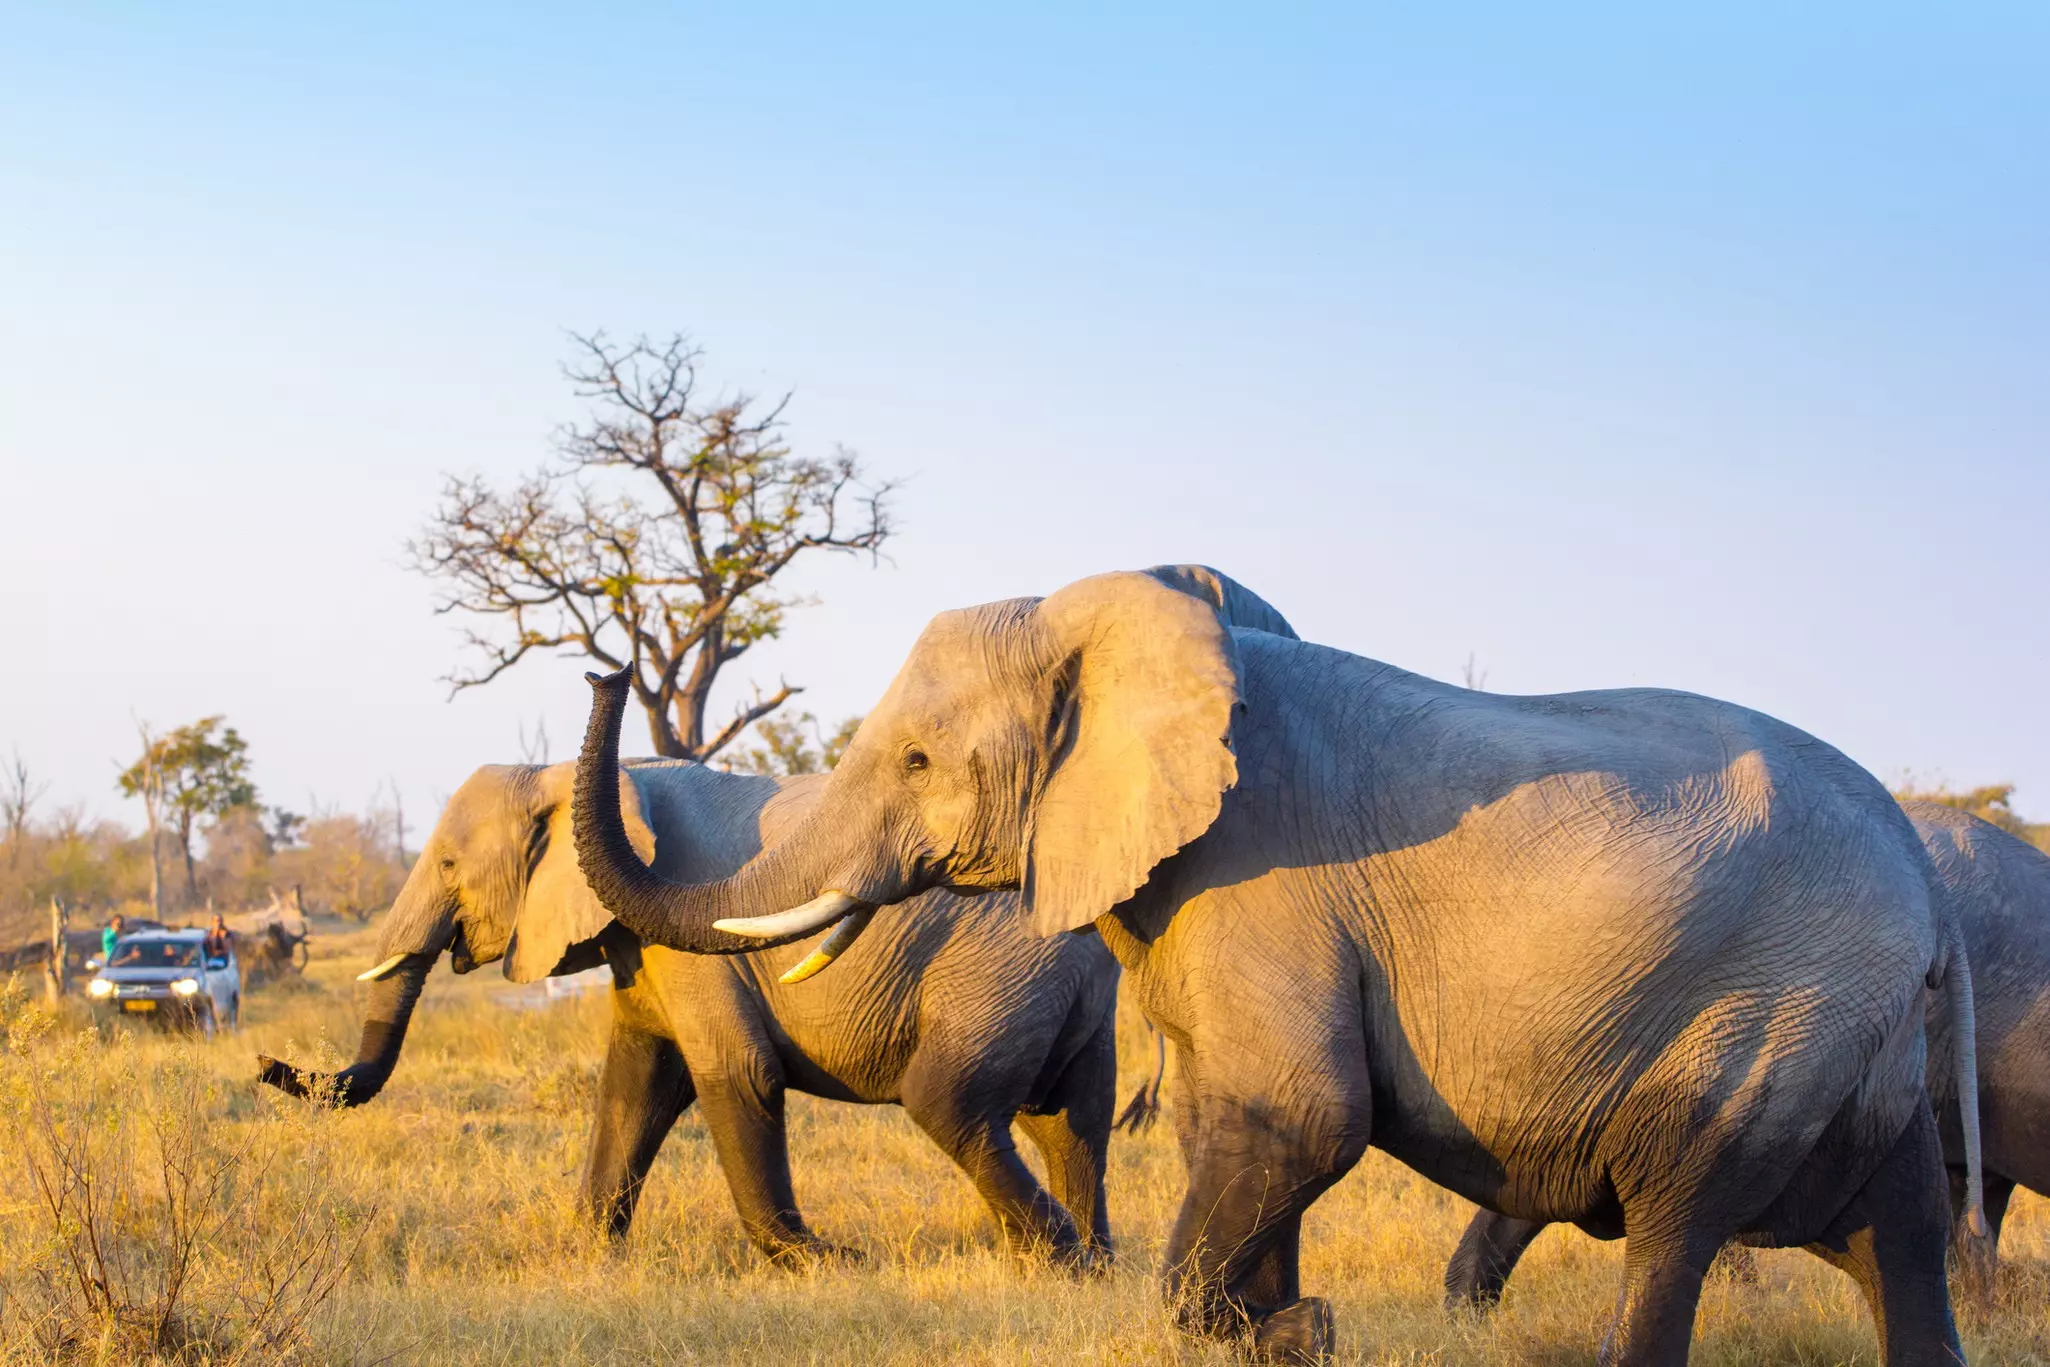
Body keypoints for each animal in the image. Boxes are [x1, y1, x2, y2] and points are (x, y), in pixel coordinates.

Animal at [257, 757, 1118, 1268]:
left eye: (444, 864)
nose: (264, 1064)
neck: (573, 775)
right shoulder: (640, 943)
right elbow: (635, 1082)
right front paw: (588, 1250)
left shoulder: (695, 938)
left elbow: (735, 1070)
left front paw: (821, 1262)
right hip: (1056, 990)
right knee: (1069, 1119)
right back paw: (1090, 1260)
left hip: (995, 975)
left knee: (951, 1102)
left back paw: (1056, 1259)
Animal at [571, 563, 1986, 1366]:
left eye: (918, 760)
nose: (602, 666)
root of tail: (1929, 896)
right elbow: (1237, 1123)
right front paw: (1284, 1329)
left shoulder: (1267, 880)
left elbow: (1305, 1117)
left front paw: (1298, 1329)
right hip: (1852, 1046)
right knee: (1901, 1237)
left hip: (1768, 1017)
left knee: (1675, 1219)